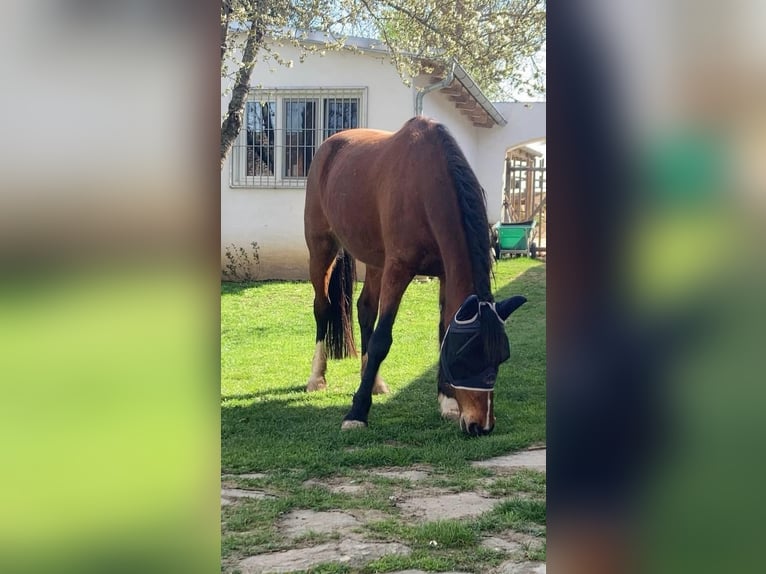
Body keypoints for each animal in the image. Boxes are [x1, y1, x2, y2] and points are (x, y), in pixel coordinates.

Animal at [306, 119, 528, 438]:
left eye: (501, 357)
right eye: (465, 357)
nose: (481, 425)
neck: (425, 185)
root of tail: (329, 146)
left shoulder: (445, 274)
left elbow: (443, 329)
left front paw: (448, 402)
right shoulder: (398, 270)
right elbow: (381, 340)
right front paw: (357, 413)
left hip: (375, 261)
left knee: (364, 309)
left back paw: (373, 381)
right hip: (321, 248)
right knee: (322, 307)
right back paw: (316, 377)